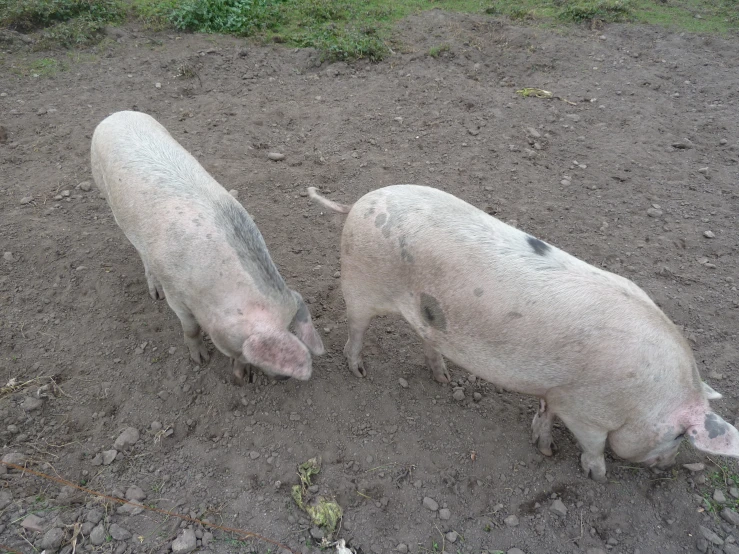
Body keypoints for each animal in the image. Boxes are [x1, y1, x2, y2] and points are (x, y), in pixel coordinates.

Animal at [90, 110, 324, 382]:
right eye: (239, 348)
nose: (283, 378)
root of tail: (115, 115)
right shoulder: (177, 296)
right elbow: (190, 329)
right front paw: (200, 360)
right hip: (106, 193)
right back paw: (155, 293)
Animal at [310, 184, 739, 478]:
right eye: (679, 436)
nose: (667, 466)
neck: (644, 399)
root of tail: (358, 204)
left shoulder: (557, 391)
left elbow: (544, 412)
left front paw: (544, 450)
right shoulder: (585, 411)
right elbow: (594, 446)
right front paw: (595, 475)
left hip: (424, 313)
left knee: (425, 338)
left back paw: (443, 379)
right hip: (360, 284)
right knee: (355, 327)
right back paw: (359, 371)